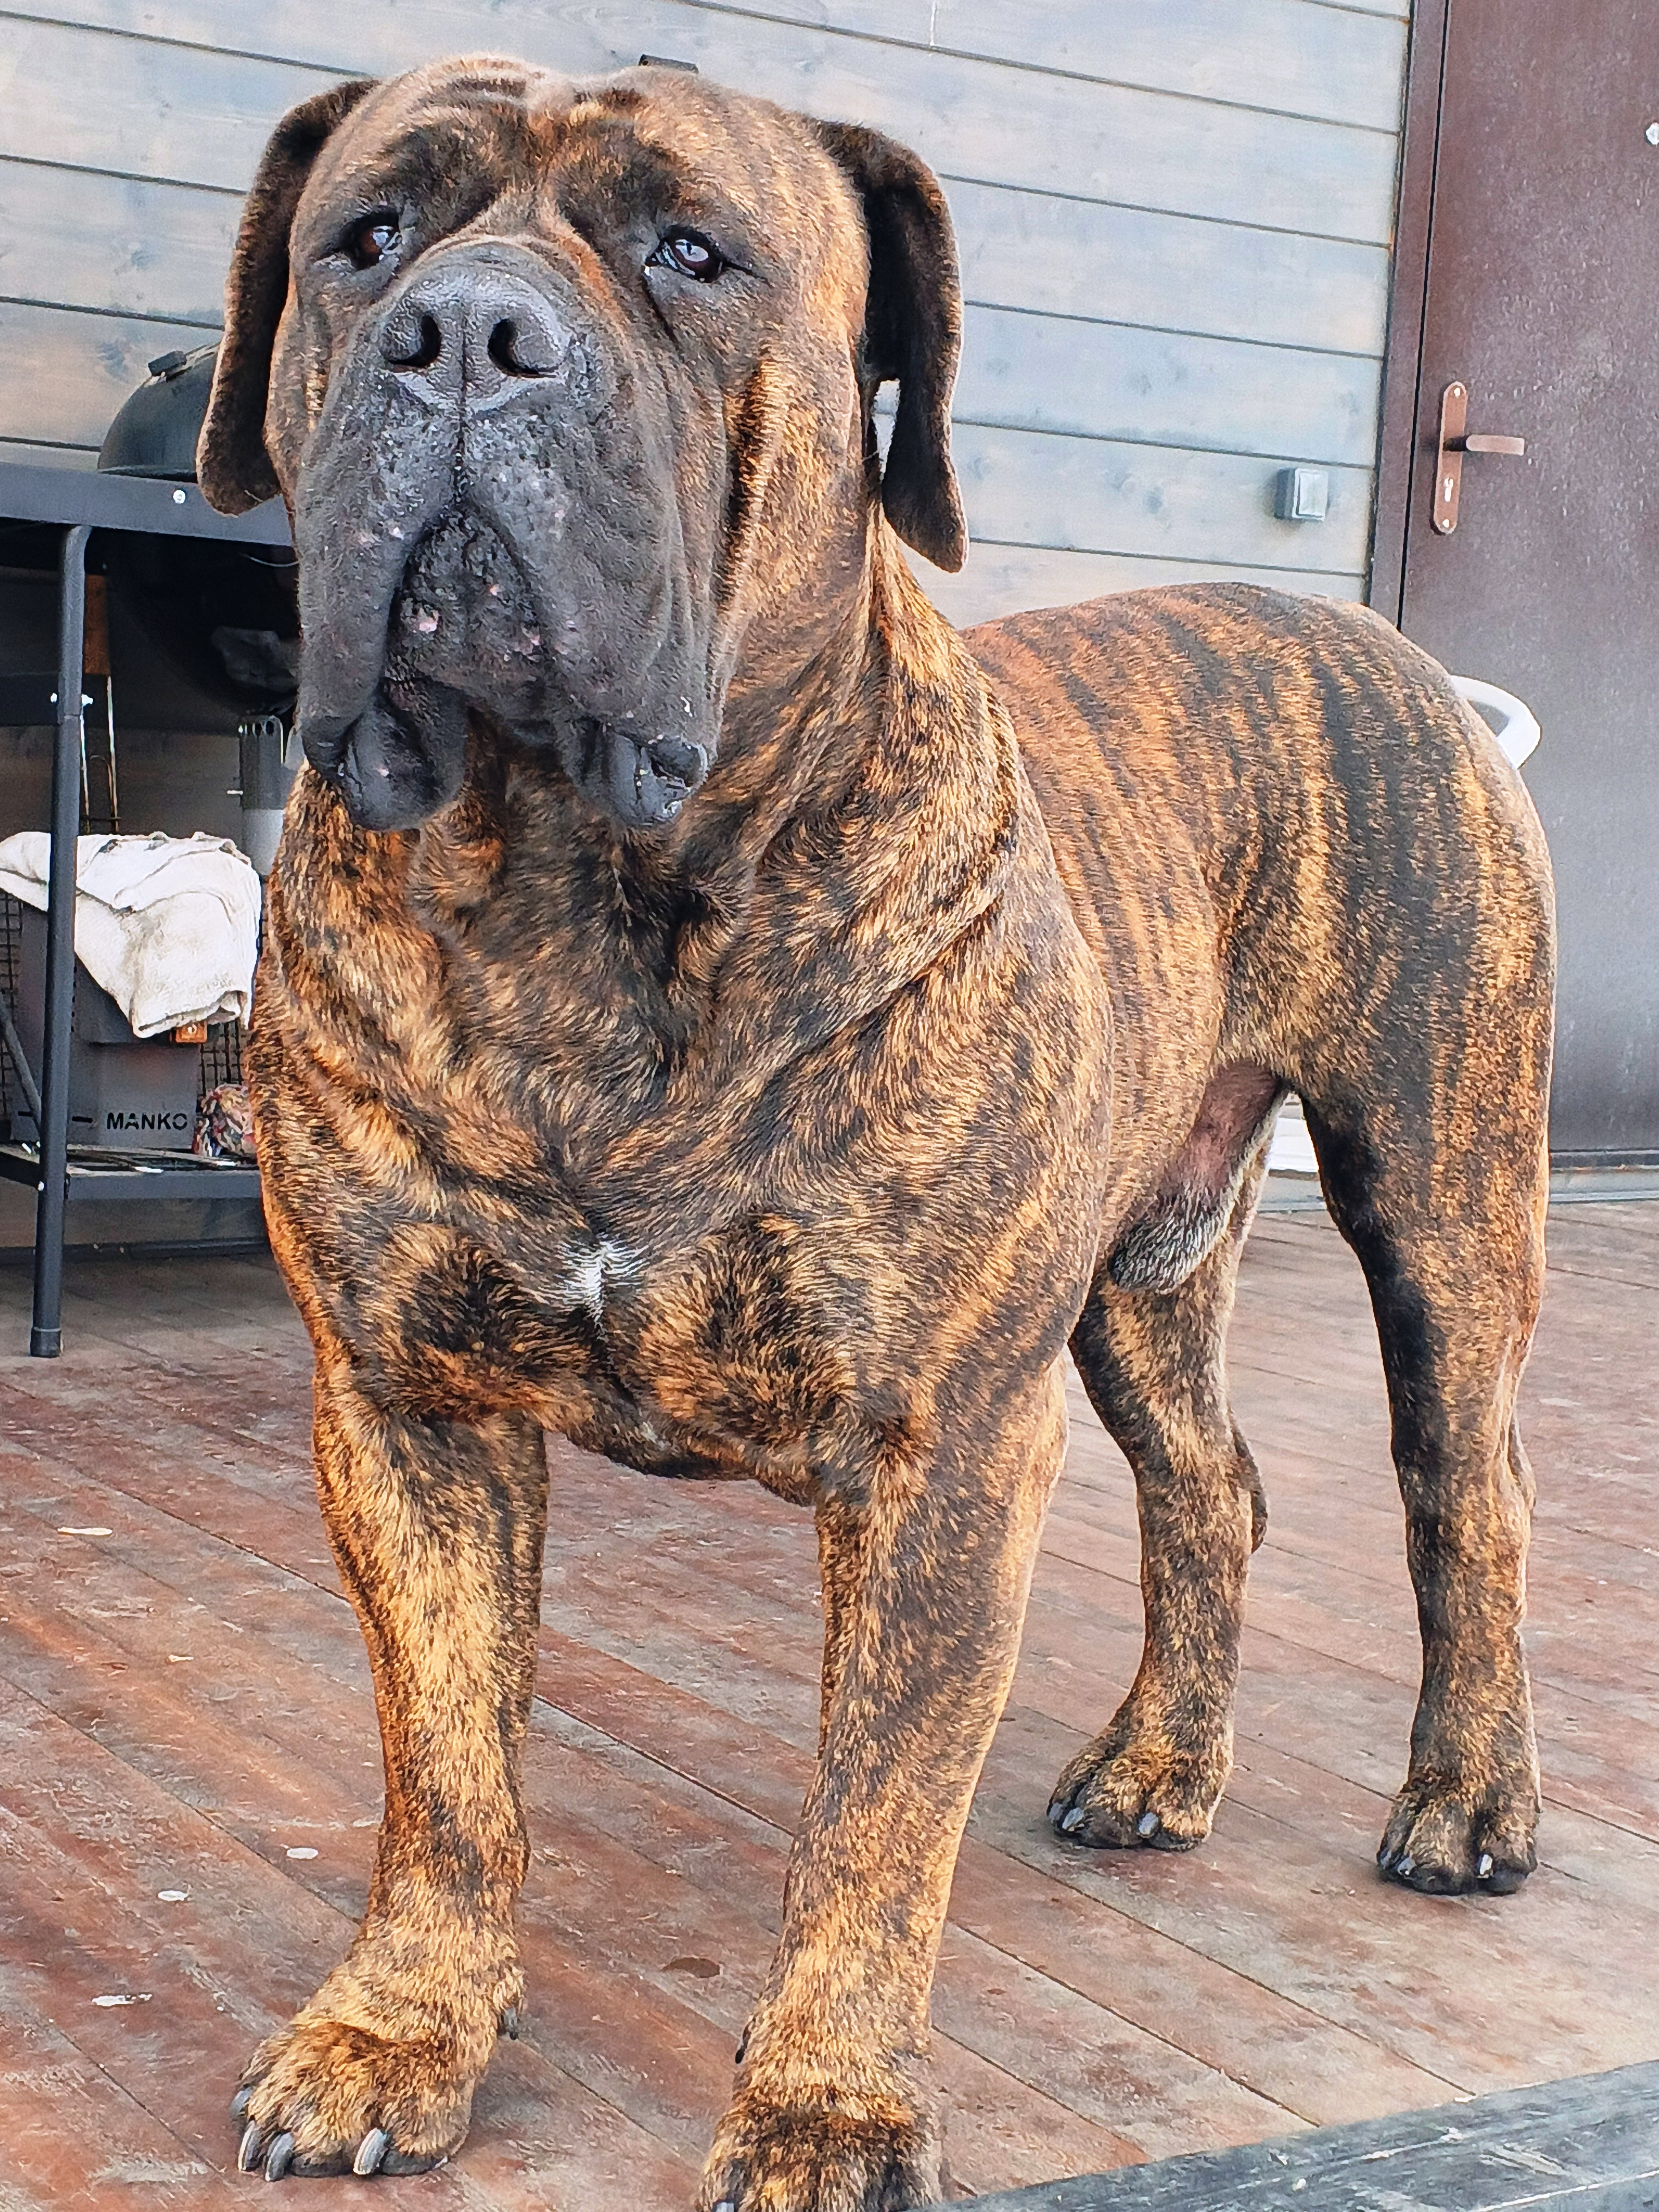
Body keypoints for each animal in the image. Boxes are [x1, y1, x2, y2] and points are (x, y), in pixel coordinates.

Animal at [197, 54, 1555, 2207]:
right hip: (1138, 1271)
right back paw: (1161, 1764)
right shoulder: (406, 1407)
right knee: (1213, 1483)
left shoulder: (940, 1453)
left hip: (1441, 1201)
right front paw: (400, 2025)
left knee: (1466, 1497)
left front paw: (826, 2105)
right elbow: (449, 1759)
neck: (572, 879)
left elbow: (870, 1822)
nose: (469, 333)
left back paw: (1468, 1798)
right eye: (367, 239)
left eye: (696, 252)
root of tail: (1391, 654)